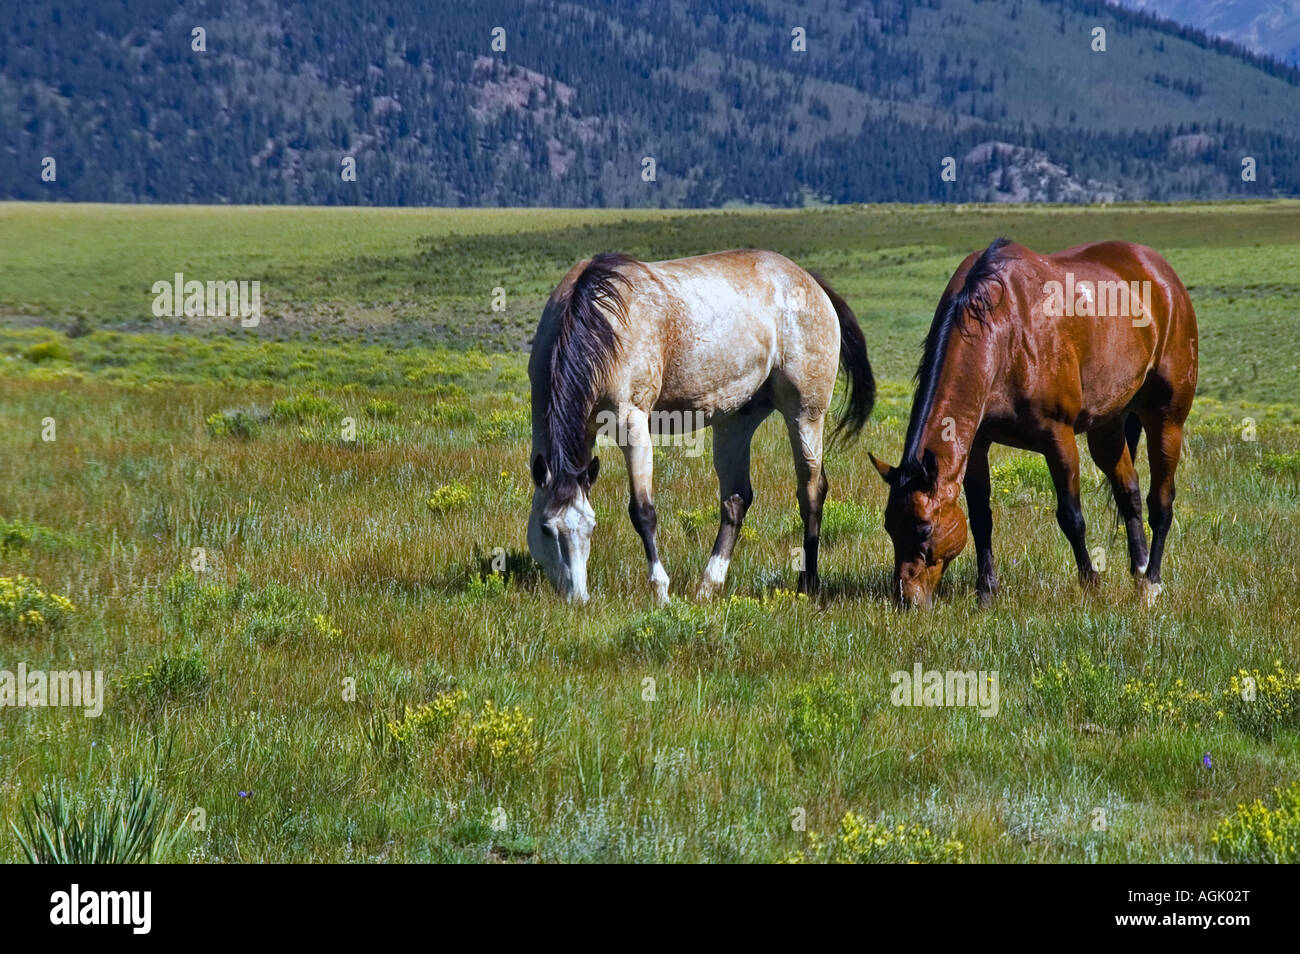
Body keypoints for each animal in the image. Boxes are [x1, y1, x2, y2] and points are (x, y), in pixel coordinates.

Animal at [527, 250, 875, 604]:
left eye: (591, 526)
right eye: (545, 528)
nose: (576, 598)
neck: (599, 320)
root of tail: (810, 282)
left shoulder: (631, 423)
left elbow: (643, 511)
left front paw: (661, 590)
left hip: (805, 415)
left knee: (811, 492)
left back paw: (808, 583)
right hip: (736, 422)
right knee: (736, 499)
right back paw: (709, 585)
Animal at [869, 238, 1197, 608]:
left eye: (924, 528)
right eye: (889, 525)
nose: (906, 599)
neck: (1004, 333)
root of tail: (1164, 276)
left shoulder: (1059, 439)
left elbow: (1071, 517)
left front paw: (1091, 584)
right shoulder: (978, 444)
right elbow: (981, 517)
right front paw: (986, 591)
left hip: (1166, 420)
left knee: (1161, 501)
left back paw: (1153, 582)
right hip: (1107, 426)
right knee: (1129, 491)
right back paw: (1139, 572)